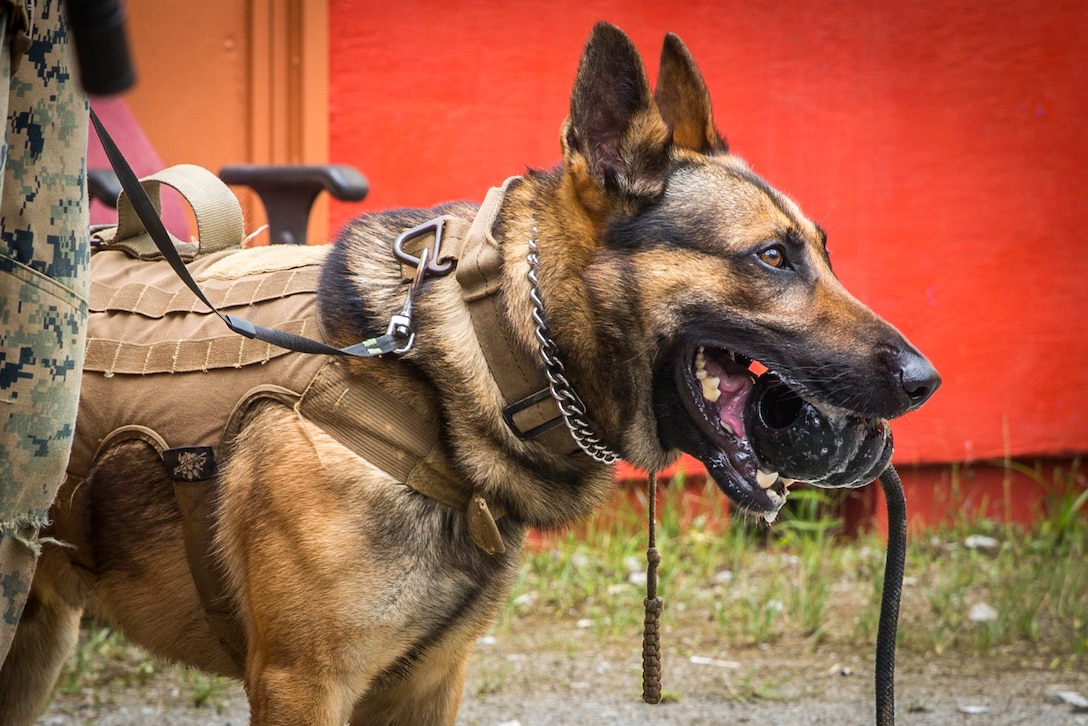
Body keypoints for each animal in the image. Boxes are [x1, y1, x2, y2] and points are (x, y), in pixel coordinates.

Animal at [0, 22, 935, 726]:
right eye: (772, 258)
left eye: (822, 251)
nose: (927, 380)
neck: (459, 371)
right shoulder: (303, 687)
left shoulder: (423, 684)